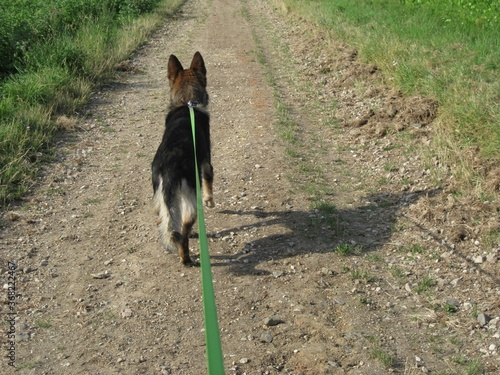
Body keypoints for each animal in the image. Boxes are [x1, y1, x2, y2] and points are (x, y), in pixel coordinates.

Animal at [152, 51, 215, 266]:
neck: (188, 103)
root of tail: (171, 165)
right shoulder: (207, 164)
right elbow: (209, 184)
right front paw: (210, 201)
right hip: (190, 199)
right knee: (184, 229)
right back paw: (185, 257)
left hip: (161, 197)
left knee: (167, 222)